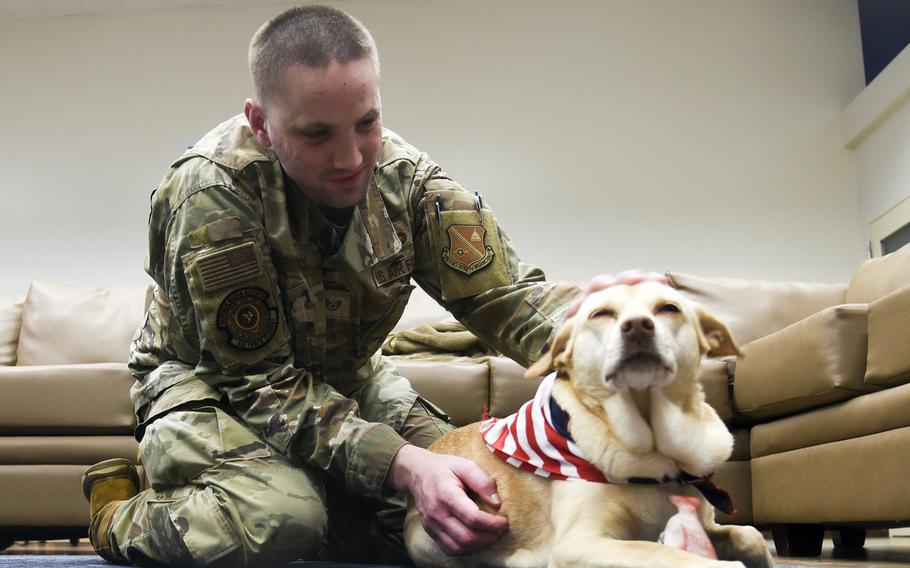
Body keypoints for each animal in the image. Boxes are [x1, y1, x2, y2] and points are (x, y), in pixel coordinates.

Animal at [410, 282, 772, 568]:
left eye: (669, 308)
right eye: (600, 314)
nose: (637, 326)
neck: (657, 454)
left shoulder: (705, 523)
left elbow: (750, 535)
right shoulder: (579, 544)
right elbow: (665, 554)